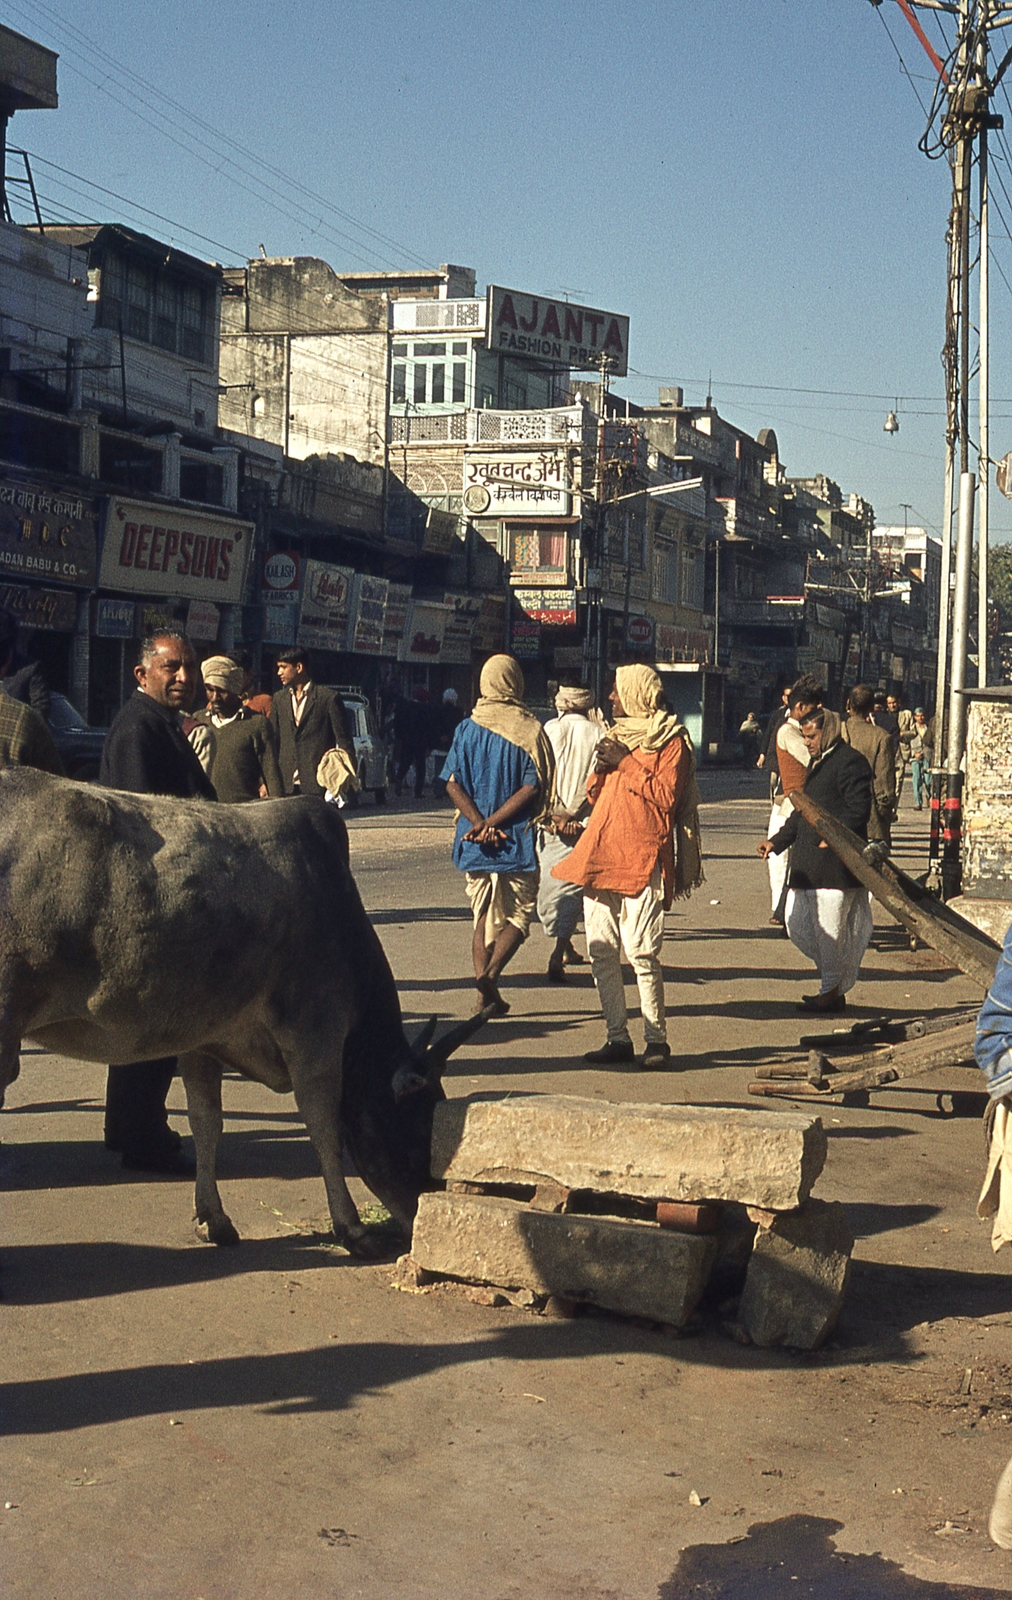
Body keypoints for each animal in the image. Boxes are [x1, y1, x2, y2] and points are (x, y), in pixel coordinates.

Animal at [0, 768, 483, 1254]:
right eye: (421, 1127)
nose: (423, 1219)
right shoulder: (315, 1032)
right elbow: (323, 1126)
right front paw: (352, 1227)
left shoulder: (201, 1039)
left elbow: (206, 1122)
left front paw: (213, 1218)